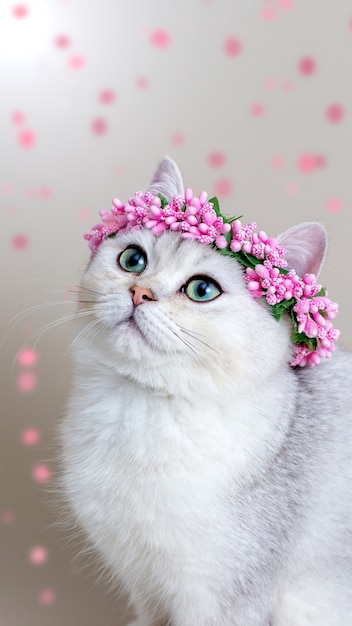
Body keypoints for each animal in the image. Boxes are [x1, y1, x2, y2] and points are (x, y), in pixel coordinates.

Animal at [59, 158, 352, 620]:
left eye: (202, 289)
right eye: (132, 259)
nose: (139, 293)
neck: (140, 407)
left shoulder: (221, 599)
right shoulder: (145, 586)